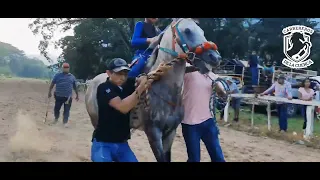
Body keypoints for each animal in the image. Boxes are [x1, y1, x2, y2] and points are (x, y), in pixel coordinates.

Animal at [85, 18, 225, 162]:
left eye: (202, 31)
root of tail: (92, 82)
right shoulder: (153, 133)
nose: (215, 57)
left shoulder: (170, 132)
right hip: (96, 120)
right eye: (187, 31)